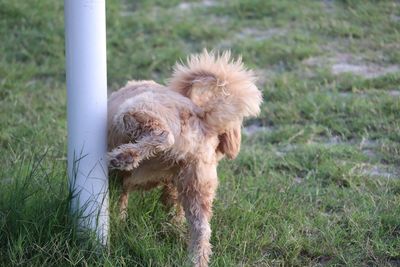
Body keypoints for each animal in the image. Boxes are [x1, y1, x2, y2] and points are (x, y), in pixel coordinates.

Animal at [108, 50, 262, 267]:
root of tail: (200, 116)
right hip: (197, 186)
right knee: (203, 229)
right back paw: (196, 260)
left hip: (135, 111)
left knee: (162, 136)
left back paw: (125, 157)